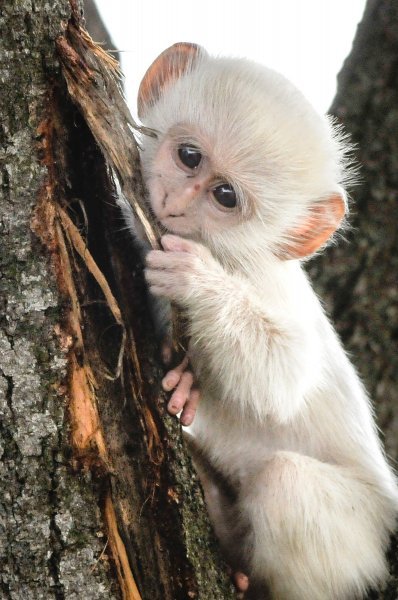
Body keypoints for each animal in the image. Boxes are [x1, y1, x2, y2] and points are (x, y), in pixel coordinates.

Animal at [134, 43, 398, 600]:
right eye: (189, 156)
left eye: (225, 197)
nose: (174, 204)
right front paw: (187, 384)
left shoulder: (262, 278)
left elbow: (283, 375)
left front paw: (195, 282)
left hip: (362, 532)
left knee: (284, 483)